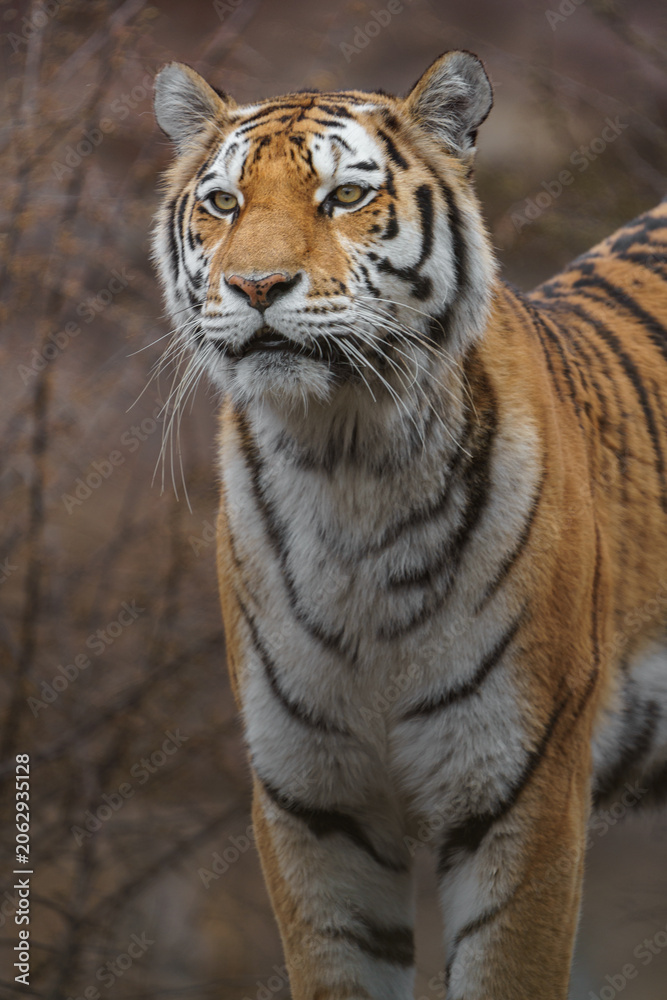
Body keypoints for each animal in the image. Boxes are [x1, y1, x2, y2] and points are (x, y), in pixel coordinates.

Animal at [152, 50, 667, 1000]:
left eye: (345, 197)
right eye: (224, 203)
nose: (255, 286)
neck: (343, 466)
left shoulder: (521, 790)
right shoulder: (311, 804)